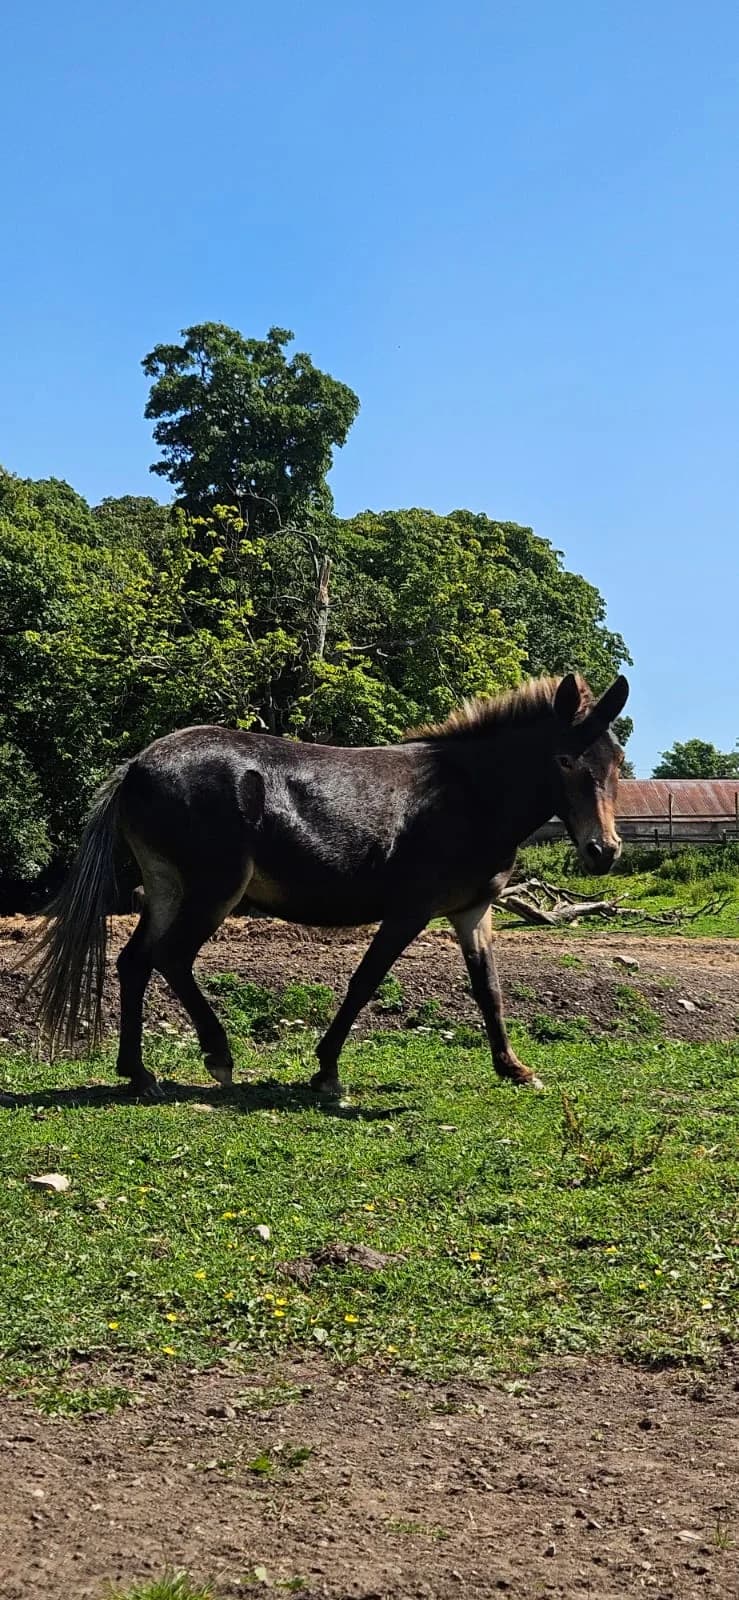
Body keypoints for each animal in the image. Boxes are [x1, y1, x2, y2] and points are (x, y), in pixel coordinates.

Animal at [27, 671, 629, 1099]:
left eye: (616, 760)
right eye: (564, 758)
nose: (604, 851)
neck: (467, 796)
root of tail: (136, 764)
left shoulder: (472, 912)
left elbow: (489, 990)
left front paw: (514, 1068)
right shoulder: (409, 912)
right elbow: (364, 982)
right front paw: (326, 1070)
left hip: (166, 889)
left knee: (135, 962)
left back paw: (138, 1073)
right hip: (214, 890)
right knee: (171, 958)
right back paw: (218, 1055)